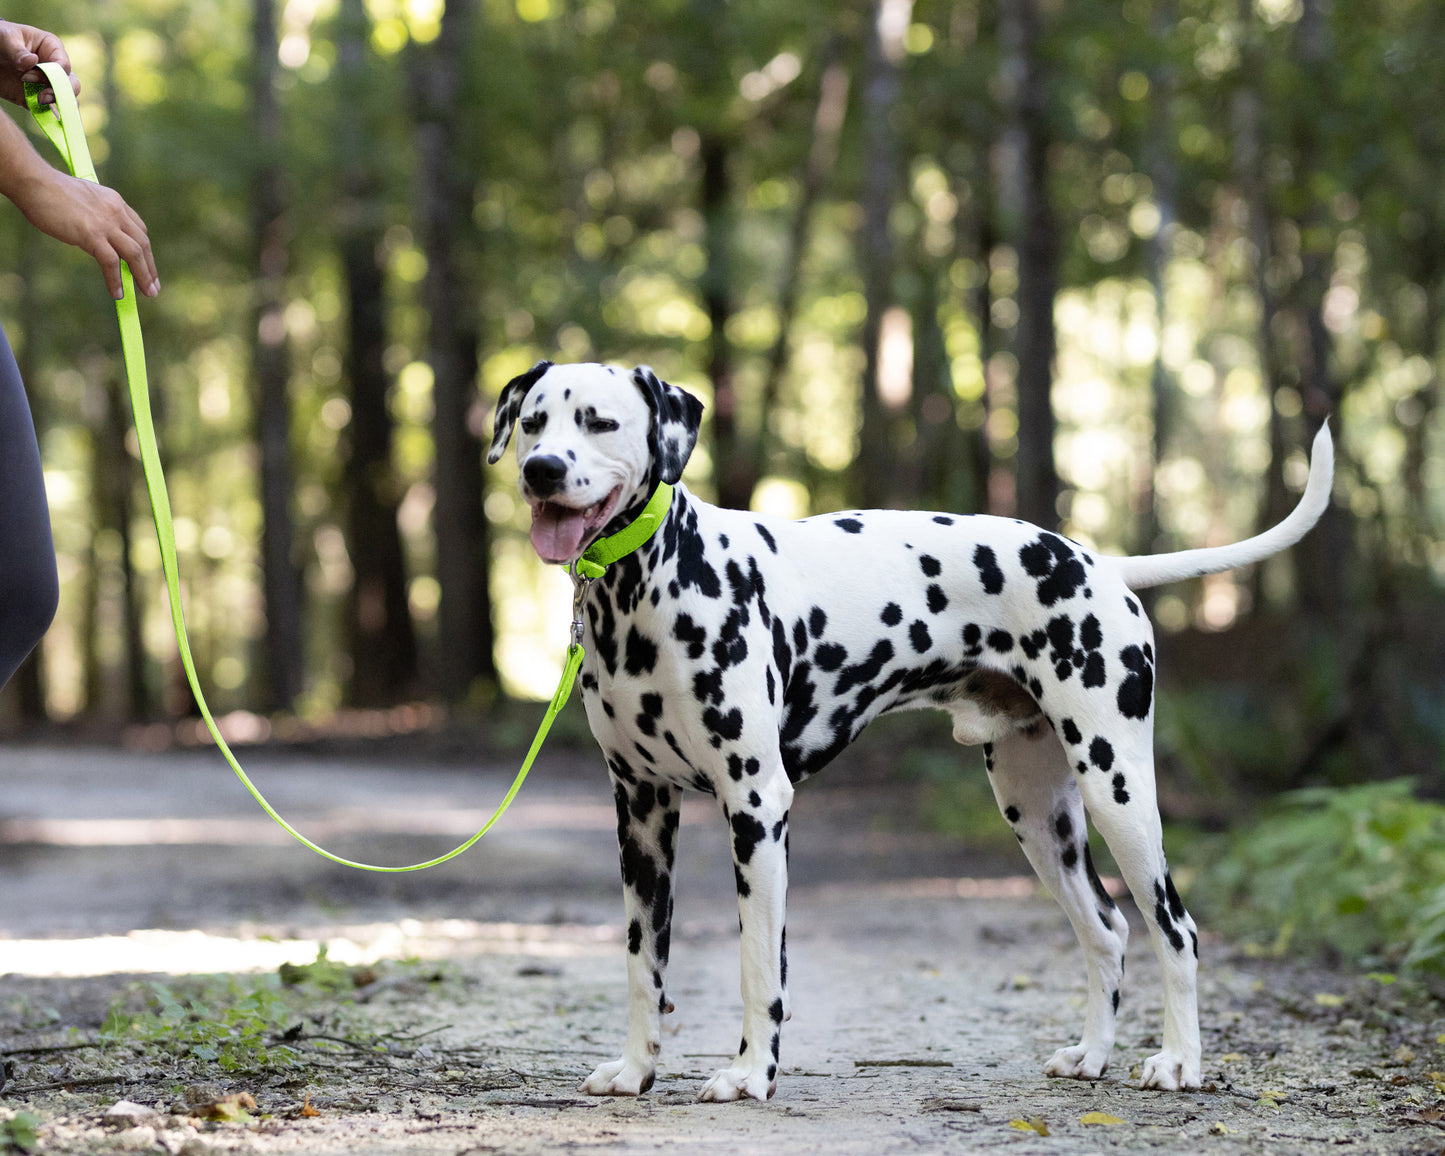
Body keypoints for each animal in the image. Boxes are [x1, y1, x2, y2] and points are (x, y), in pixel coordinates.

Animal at [485, 358, 1329, 1103]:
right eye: (532, 423)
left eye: (599, 421)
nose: (542, 470)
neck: (647, 590)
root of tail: (1099, 563)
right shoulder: (640, 814)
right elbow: (642, 963)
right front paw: (635, 1071)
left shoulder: (755, 807)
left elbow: (758, 963)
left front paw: (750, 1075)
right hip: (1038, 815)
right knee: (1107, 930)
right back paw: (1090, 1056)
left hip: (1117, 788)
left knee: (1174, 928)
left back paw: (1179, 1062)